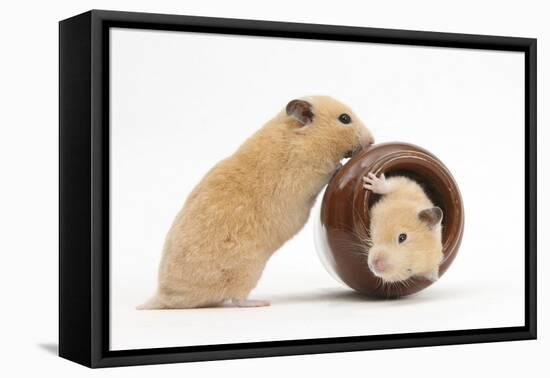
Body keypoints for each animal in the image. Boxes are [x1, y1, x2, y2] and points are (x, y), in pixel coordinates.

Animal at [140, 96, 378, 308]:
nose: (373, 140)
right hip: (247, 269)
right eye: (345, 118)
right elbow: (330, 169)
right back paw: (260, 303)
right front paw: (340, 165)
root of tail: (163, 296)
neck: (301, 137)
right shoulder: (309, 172)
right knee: (237, 299)